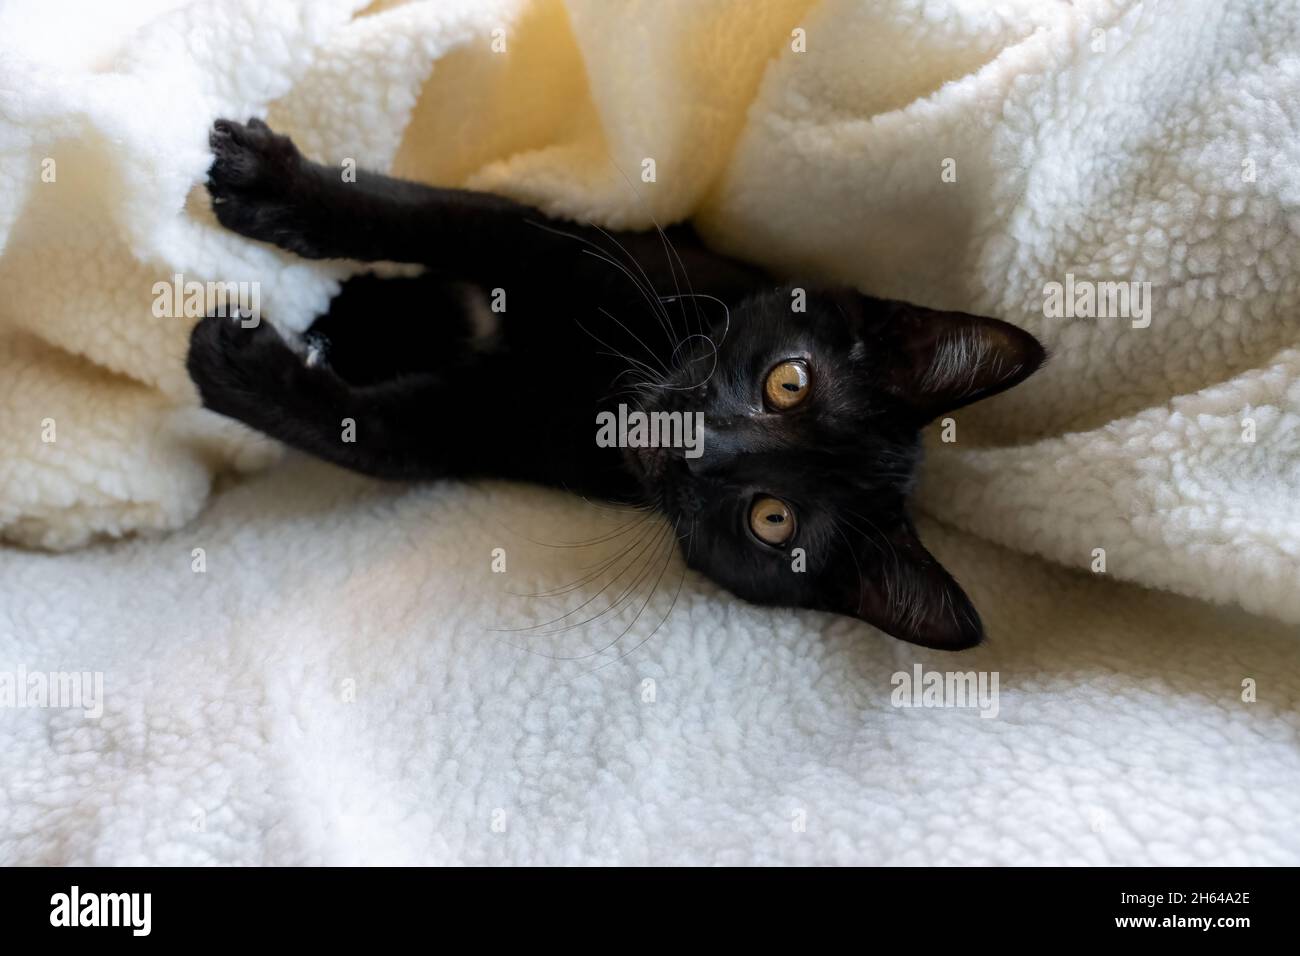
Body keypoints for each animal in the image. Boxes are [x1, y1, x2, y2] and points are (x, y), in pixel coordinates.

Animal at [188, 115, 1045, 647]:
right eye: (789, 383)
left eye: (772, 521)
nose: (698, 447)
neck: (600, 385)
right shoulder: (563, 242)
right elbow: (425, 214)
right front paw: (270, 186)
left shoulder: (482, 422)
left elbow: (371, 440)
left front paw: (233, 368)